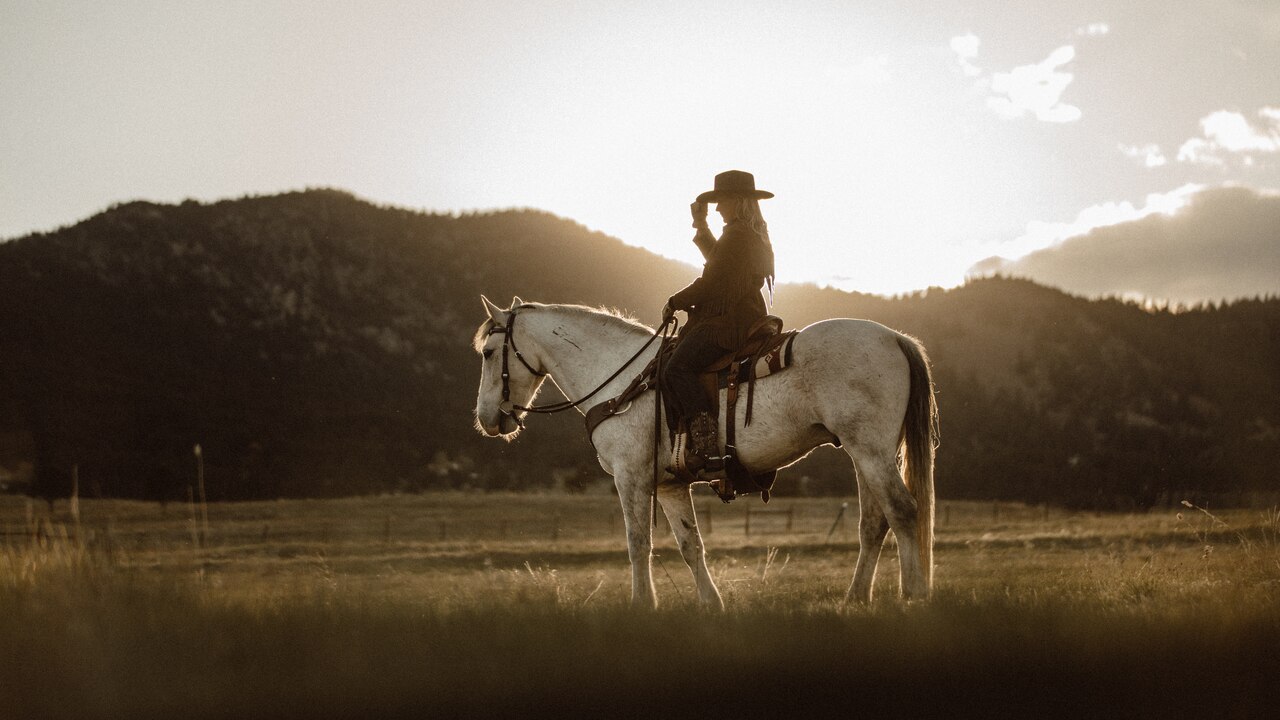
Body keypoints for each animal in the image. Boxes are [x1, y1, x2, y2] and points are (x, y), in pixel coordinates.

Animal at [476, 295, 936, 604]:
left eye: (487, 352)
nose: (486, 419)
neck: (620, 380)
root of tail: (895, 338)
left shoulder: (631, 477)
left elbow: (637, 542)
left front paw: (642, 606)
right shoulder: (670, 486)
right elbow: (690, 546)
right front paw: (710, 605)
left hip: (871, 450)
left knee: (902, 510)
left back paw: (913, 595)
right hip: (864, 453)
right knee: (873, 523)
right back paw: (855, 598)